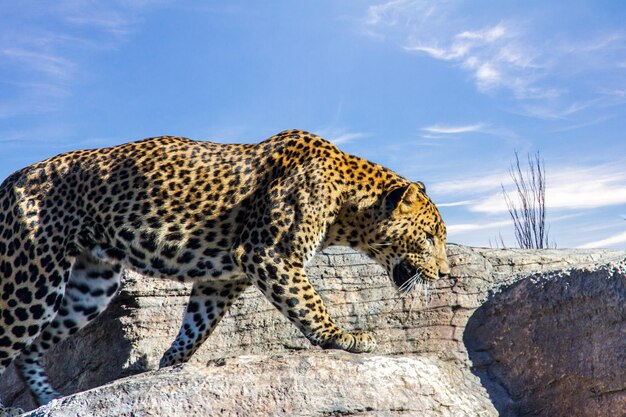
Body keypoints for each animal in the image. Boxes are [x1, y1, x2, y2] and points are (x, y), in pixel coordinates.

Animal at [0, 128, 448, 408]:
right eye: (429, 238)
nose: (443, 273)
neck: (347, 206)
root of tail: (11, 178)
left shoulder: (223, 279)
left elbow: (197, 325)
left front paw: (171, 363)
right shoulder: (268, 253)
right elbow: (309, 301)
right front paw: (343, 337)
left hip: (89, 285)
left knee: (33, 350)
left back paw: (49, 400)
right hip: (31, 277)